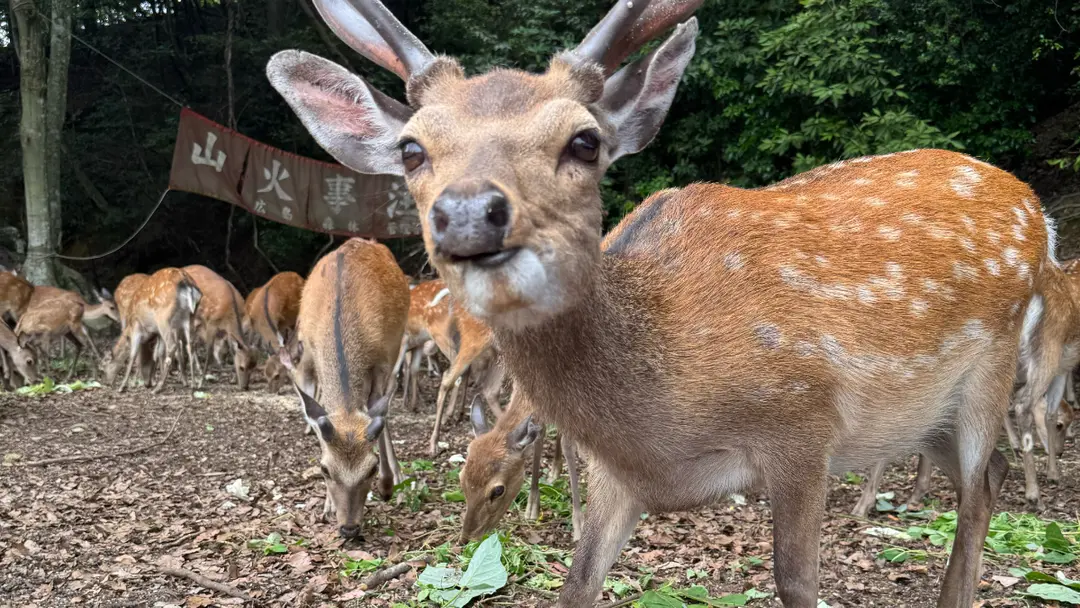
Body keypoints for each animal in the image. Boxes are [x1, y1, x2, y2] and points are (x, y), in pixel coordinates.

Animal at [279, 237, 408, 539]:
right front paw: (327, 506)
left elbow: (378, 412)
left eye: (371, 469)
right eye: (325, 469)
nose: (349, 528)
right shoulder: (313, 355)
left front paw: (387, 485)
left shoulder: (383, 361)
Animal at [461, 395, 584, 543]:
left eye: (498, 490)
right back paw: (555, 470)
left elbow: (567, 444)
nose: (466, 539)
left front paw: (579, 526)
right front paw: (532, 508)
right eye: (461, 478)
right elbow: (540, 433)